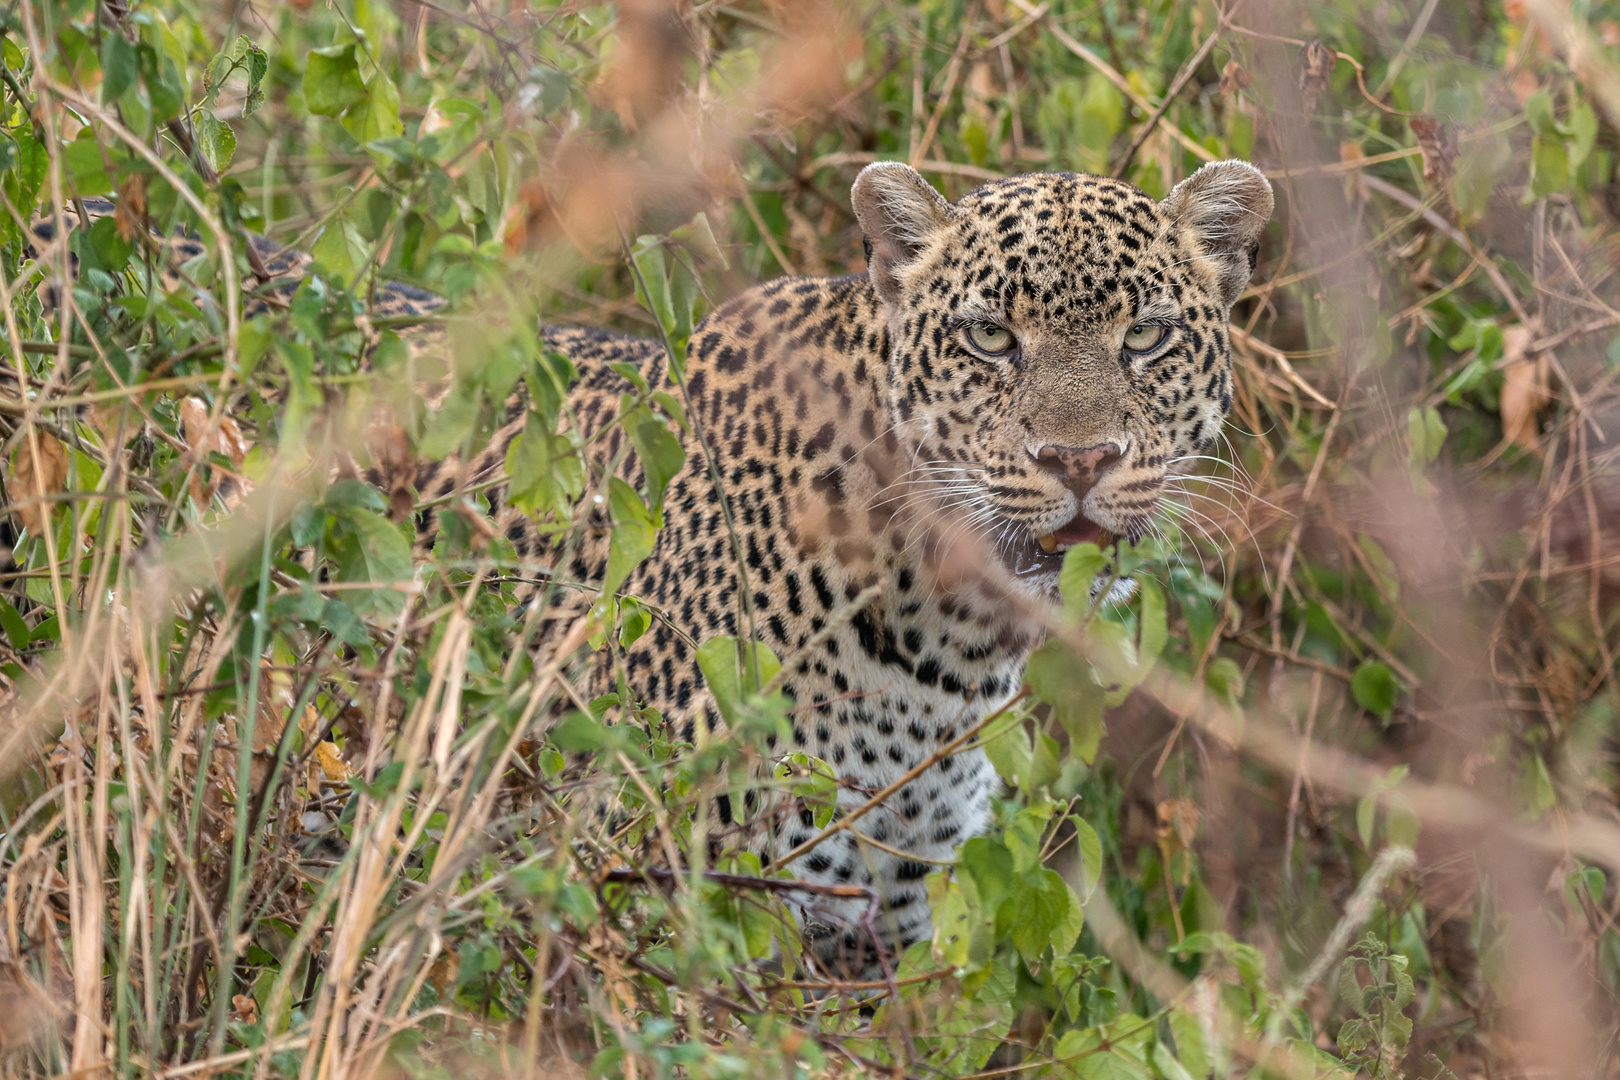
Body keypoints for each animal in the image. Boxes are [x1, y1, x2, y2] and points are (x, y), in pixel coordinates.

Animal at [19, 158, 1270, 977]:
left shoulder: (883, 917)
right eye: (989, 338)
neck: (949, 647)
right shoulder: (687, 885)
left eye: (1148, 335)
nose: (1080, 461)